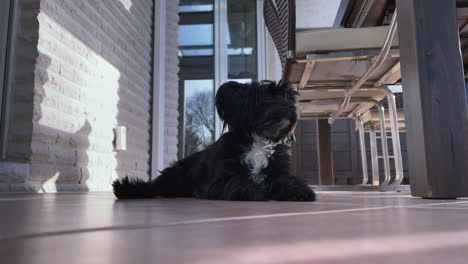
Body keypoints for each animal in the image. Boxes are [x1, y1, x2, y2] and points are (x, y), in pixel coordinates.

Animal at [113, 80, 316, 200]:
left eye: (289, 97)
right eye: (268, 96)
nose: (292, 106)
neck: (257, 140)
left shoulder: (278, 171)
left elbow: (285, 180)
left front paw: (299, 190)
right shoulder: (221, 181)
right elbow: (242, 184)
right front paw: (261, 191)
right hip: (176, 175)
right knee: (154, 187)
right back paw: (127, 189)